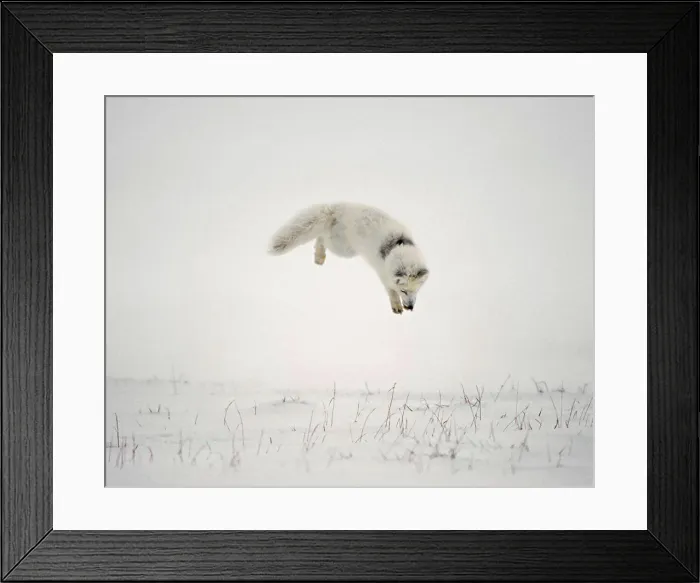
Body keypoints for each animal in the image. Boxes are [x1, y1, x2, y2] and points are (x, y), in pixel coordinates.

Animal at [268, 203, 429, 314]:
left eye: (417, 290)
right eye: (403, 291)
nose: (410, 307)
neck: (399, 246)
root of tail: (338, 207)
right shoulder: (383, 274)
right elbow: (391, 291)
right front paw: (396, 305)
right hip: (342, 248)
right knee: (321, 238)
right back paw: (319, 256)